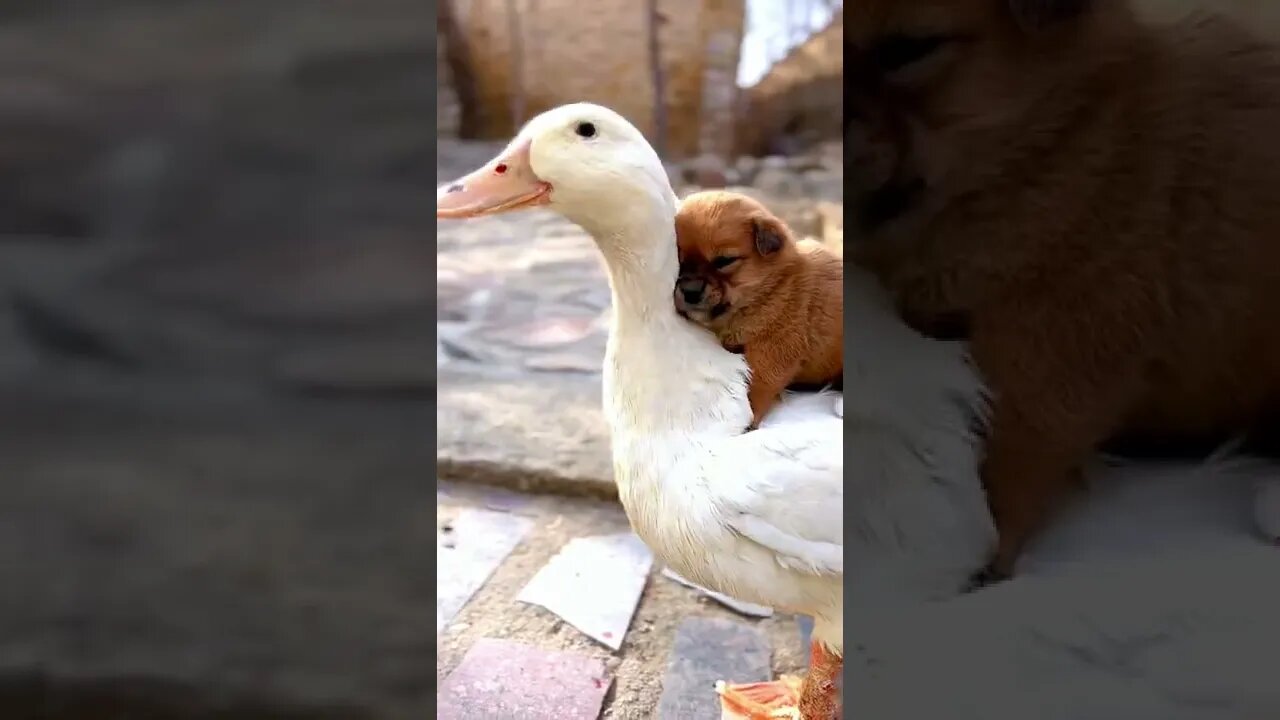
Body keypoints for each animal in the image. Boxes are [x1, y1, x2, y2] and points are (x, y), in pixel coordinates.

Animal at [675, 190, 844, 425]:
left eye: (724, 260)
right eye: (679, 260)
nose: (690, 291)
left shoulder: (771, 353)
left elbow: (754, 389)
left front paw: (745, 420)